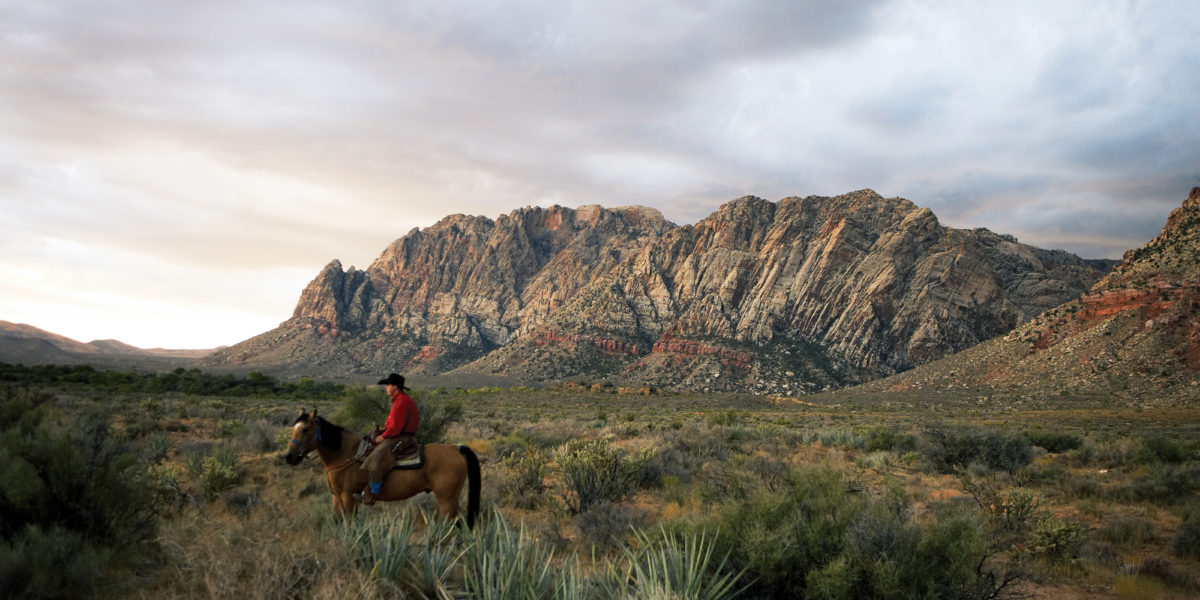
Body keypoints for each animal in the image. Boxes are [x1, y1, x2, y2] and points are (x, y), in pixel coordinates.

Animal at [283, 410, 480, 528]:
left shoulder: (348, 497)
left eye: (305, 430)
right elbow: (338, 522)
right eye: (293, 428)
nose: (289, 456)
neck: (345, 453)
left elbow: (351, 524)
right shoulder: (336, 497)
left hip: (447, 499)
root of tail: (456, 448)